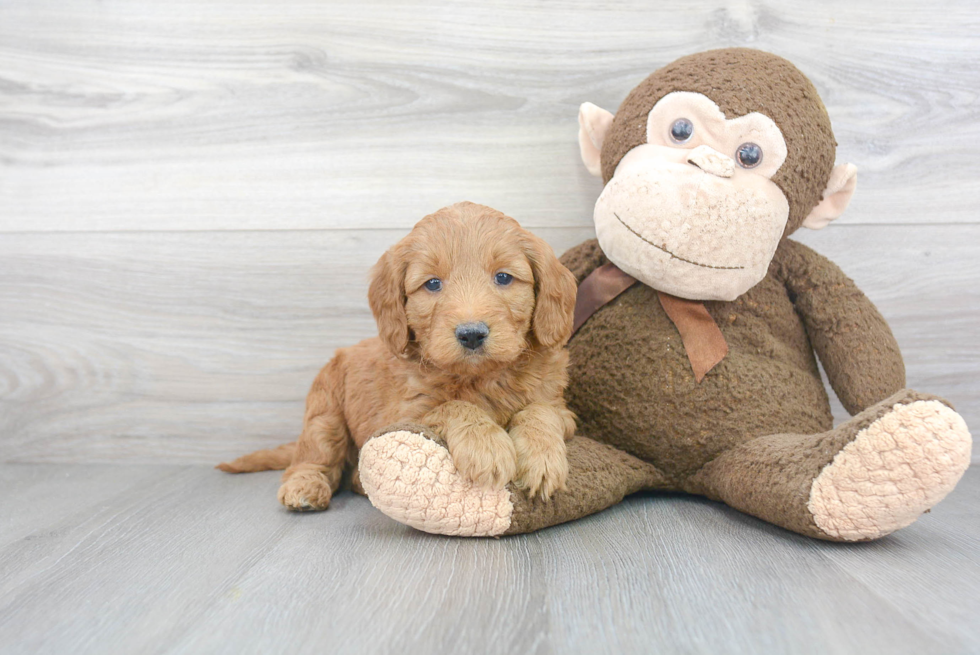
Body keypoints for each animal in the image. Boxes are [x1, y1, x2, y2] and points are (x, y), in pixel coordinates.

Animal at [218, 202, 580, 510]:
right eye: (432, 284)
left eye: (503, 277)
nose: (472, 334)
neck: (481, 377)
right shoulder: (403, 413)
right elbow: (453, 406)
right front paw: (485, 445)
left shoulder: (561, 409)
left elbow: (539, 412)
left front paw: (541, 458)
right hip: (325, 410)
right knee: (315, 453)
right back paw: (304, 487)